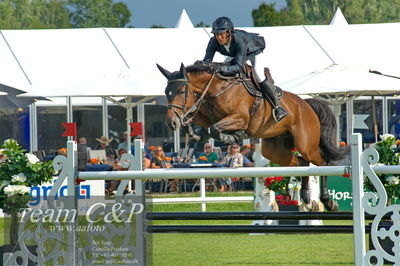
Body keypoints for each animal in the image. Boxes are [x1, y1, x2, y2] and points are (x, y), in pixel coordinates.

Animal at [158, 59, 348, 210]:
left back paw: (327, 201)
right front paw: (194, 133)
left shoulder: (240, 118)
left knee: (322, 163)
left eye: (181, 92)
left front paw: (234, 136)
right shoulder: (206, 113)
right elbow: (204, 126)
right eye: (167, 93)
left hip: (306, 145)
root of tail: (306, 103)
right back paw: (305, 197)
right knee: (302, 163)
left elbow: (215, 129)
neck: (216, 88)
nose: (170, 123)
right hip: (275, 151)